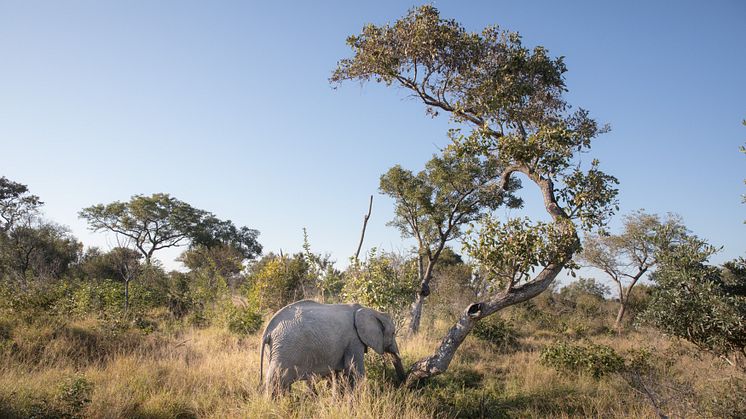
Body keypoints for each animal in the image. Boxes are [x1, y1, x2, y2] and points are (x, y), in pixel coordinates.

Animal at [258, 300, 406, 396]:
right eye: (393, 333)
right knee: (275, 380)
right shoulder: (354, 340)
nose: (403, 386)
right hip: (284, 350)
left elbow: (337, 375)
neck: (369, 310)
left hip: (275, 350)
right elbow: (355, 371)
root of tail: (267, 331)